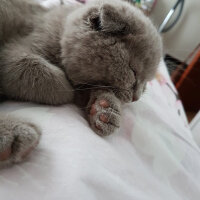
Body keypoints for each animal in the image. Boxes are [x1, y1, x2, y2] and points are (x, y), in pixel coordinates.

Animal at [0, 0, 162, 167]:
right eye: (133, 72)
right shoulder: (13, 53)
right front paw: (71, 89)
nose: (136, 98)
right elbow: (56, 83)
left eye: (146, 83)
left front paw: (105, 109)